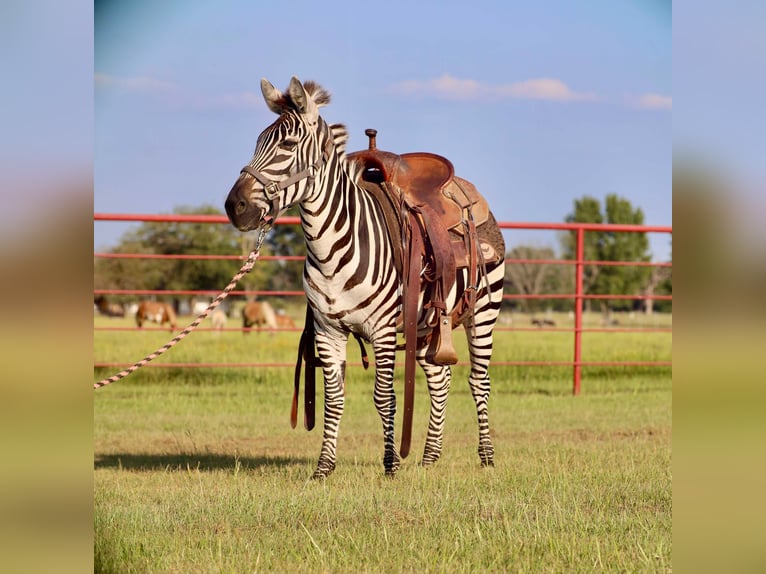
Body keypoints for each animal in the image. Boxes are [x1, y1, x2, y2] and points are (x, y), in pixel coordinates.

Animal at [225, 77, 508, 482]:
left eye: (288, 145)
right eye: (257, 142)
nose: (235, 207)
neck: (332, 248)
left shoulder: (383, 330)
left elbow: (384, 397)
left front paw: (390, 466)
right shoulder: (328, 330)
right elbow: (333, 397)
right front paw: (323, 468)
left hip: (483, 310)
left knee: (478, 380)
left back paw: (486, 456)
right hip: (428, 324)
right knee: (440, 379)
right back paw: (429, 457)